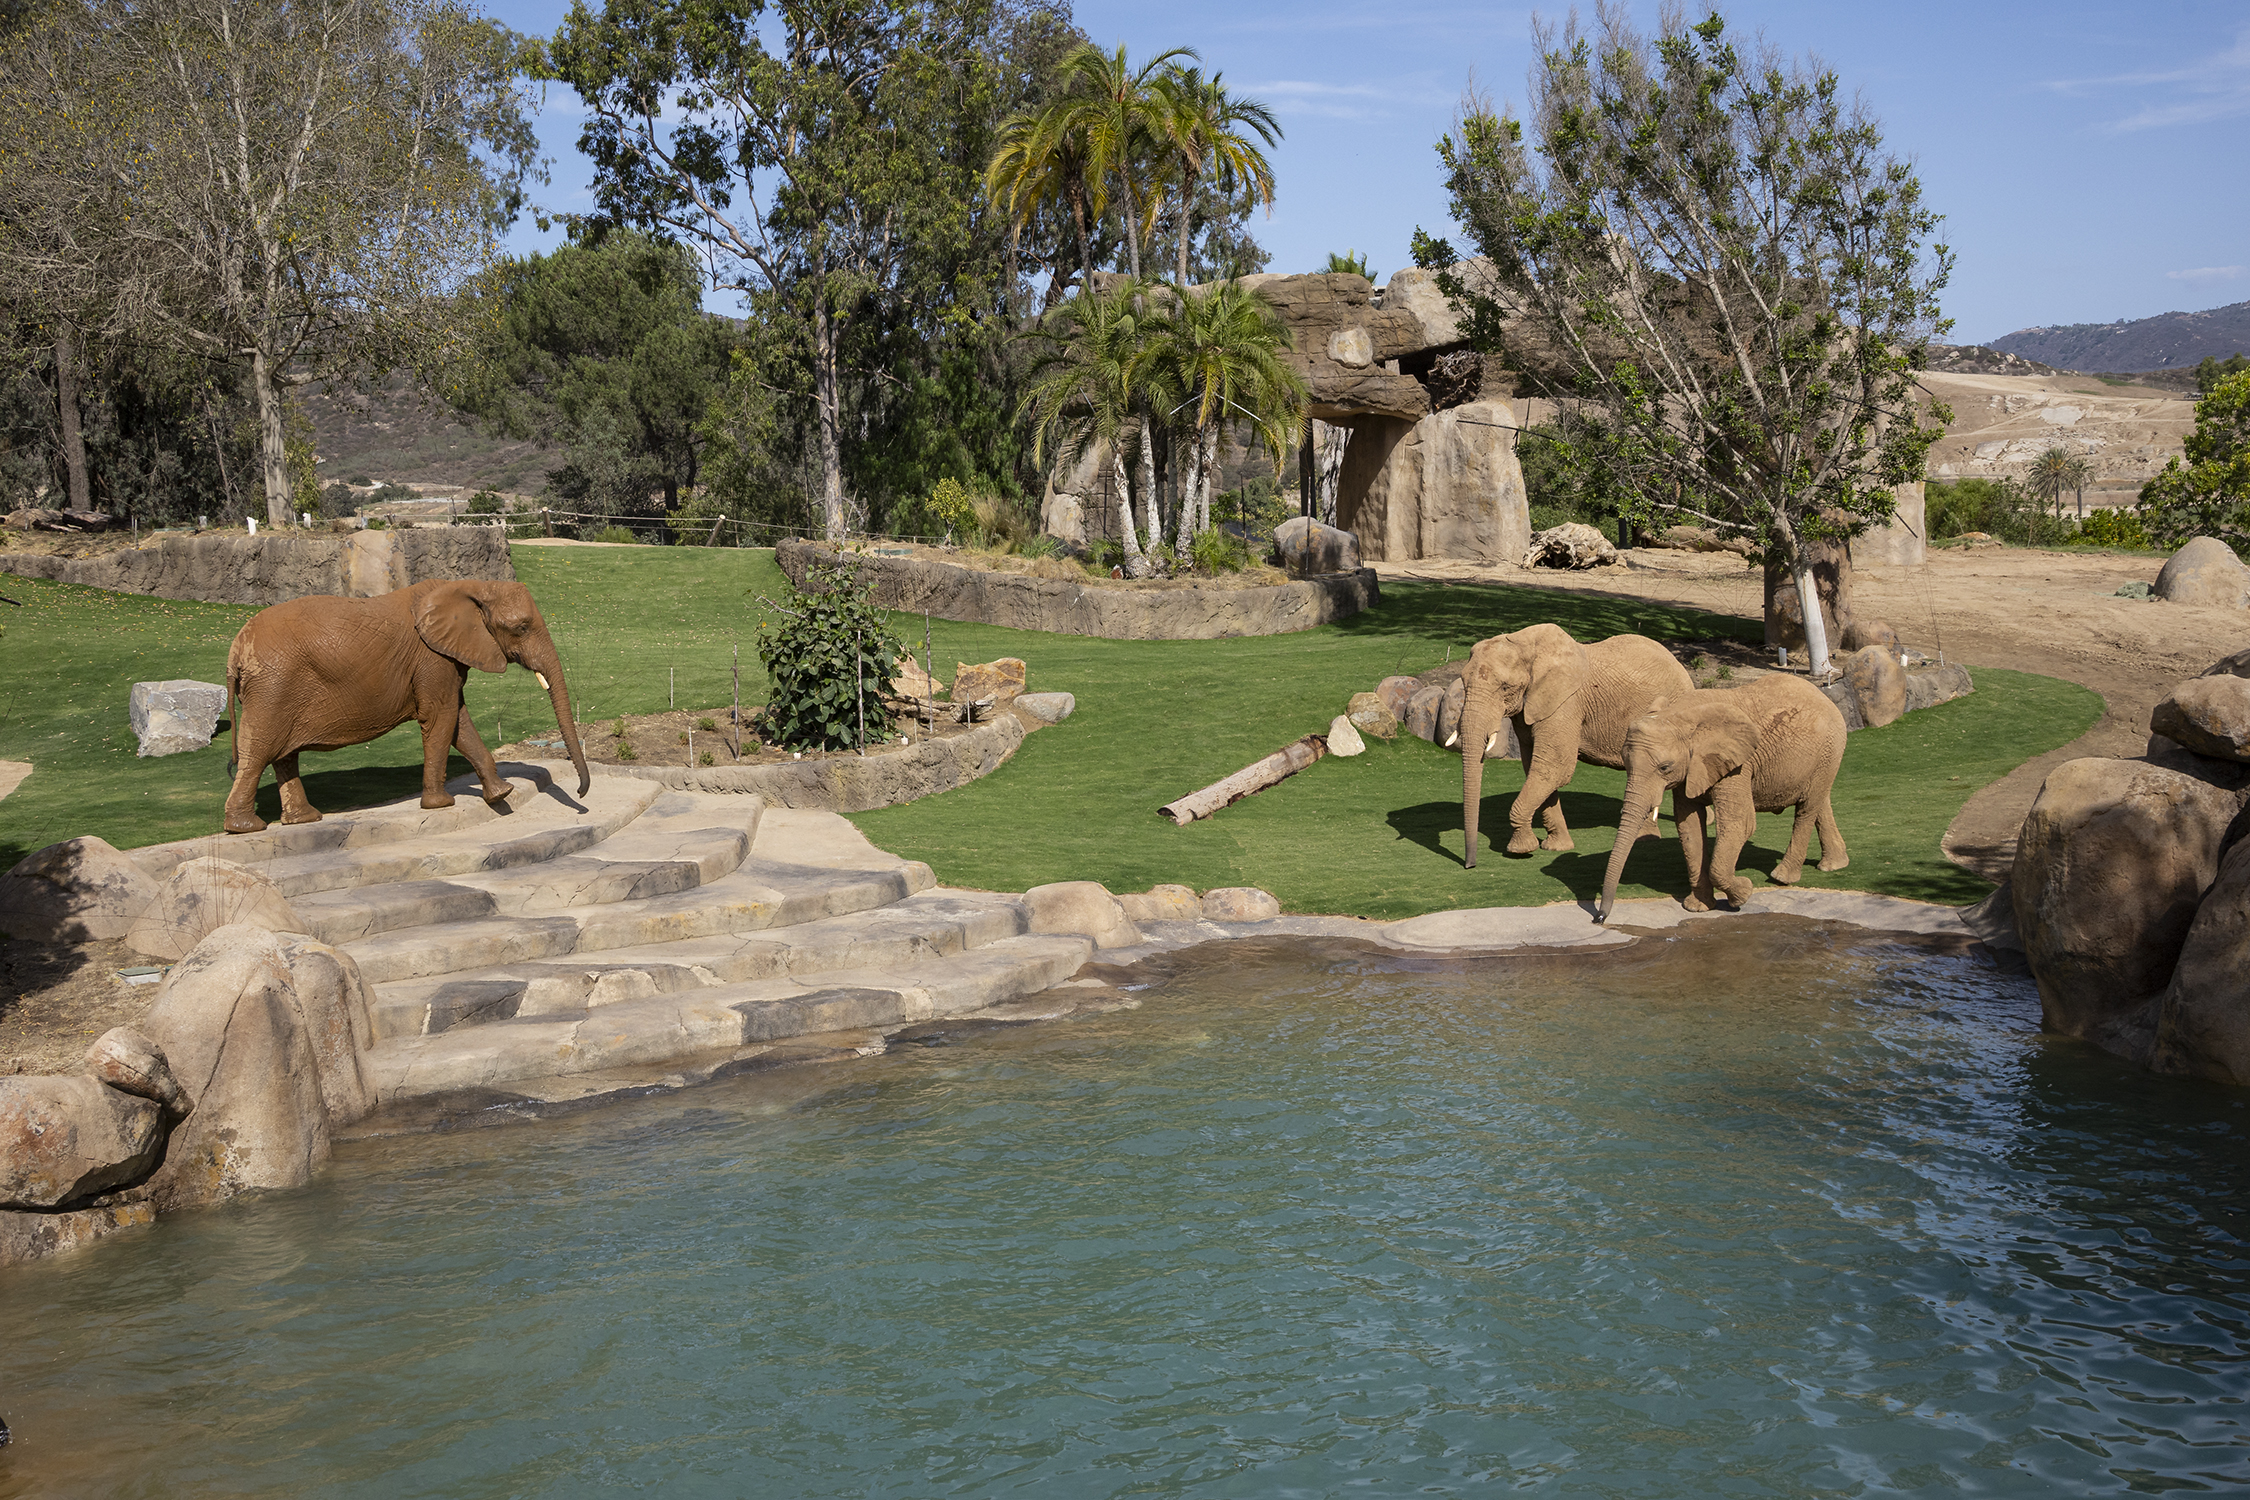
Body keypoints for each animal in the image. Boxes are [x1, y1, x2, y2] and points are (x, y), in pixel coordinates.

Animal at [222, 578, 589, 834]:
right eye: (521, 628)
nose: (582, 795)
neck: (471, 585)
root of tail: (235, 650)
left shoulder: (444, 658)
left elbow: (459, 721)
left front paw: (502, 793)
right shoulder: (432, 658)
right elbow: (441, 717)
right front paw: (441, 804)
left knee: (283, 755)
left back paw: (304, 819)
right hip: (272, 686)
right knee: (259, 751)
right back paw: (246, 827)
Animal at [1457, 624, 1695, 867]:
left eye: (1505, 688)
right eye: (1463, 683)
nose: (1470, 864)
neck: (1525, 643)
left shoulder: (1566, 704)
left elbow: (1554, 767)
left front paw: (1520, 849)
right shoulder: (1531, 708)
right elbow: (1536, 768)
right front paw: (1557, 847)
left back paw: (1645, 839)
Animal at [1597, 673, 1849, 921]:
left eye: (1664, 768)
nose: (1599, 917)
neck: (1679, 715)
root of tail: (1825, 697)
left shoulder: (1738, 765)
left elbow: (1740, 823)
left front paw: (1743, 892)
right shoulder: (1692, 766)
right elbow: (1689, 825)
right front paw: (1697, 908)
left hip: (1830, 747)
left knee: (1807, 808)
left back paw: (1783, 877)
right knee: (1819, 803)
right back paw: (1834, 865)